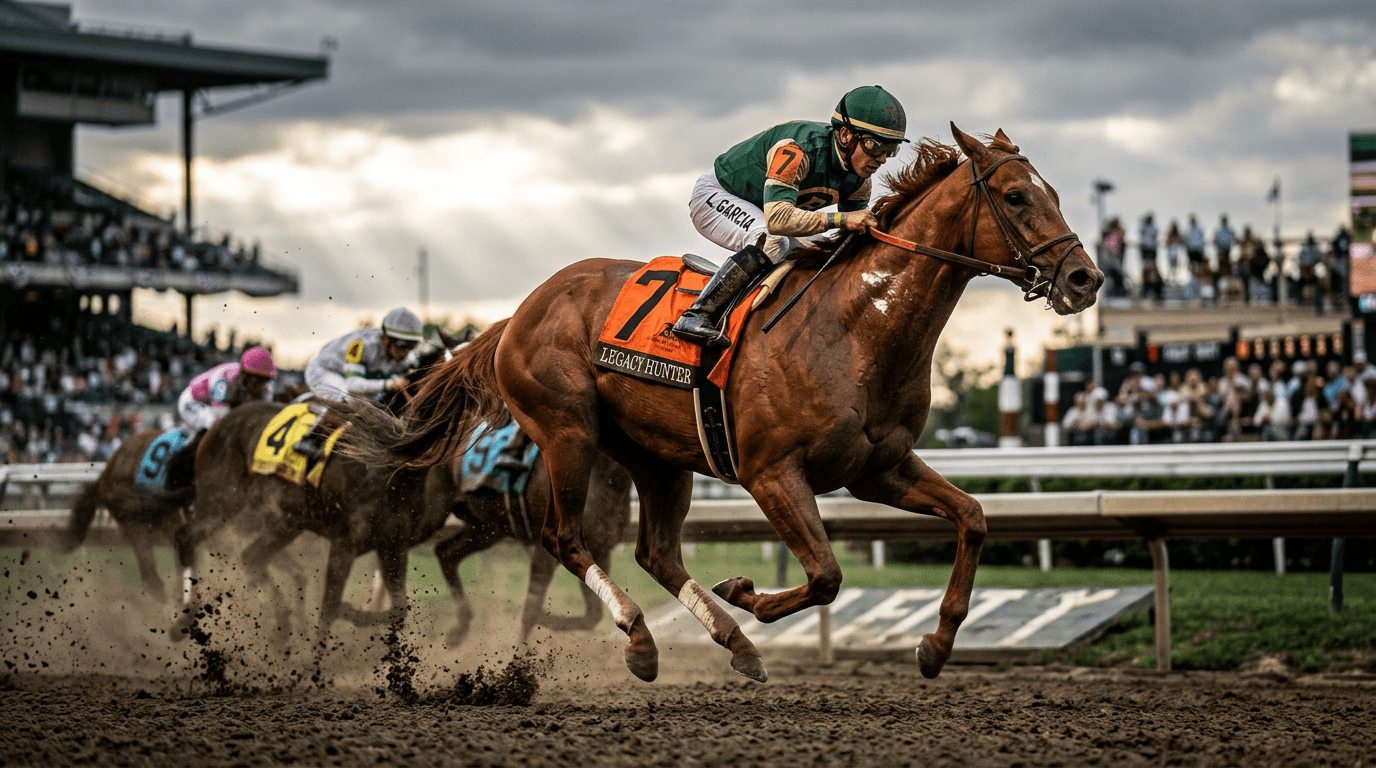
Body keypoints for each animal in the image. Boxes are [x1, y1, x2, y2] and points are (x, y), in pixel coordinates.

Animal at [171, 330, 632, 646]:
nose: (516, 406)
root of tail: (224, 423)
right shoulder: (348, 542)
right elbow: (334, 606)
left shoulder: (391, 542)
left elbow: (589, 611)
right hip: (220, 502)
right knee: (189, 536)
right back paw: (185, 619)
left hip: (295, 519)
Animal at [339, 124, 1103, 683]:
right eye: (1015, 196)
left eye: (1054, 192)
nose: (1084, 278)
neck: (857, 328)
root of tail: (518, 313)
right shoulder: (772, 473)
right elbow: (826, 575)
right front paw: (745, 591)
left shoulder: (877, 469)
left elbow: (972, 518)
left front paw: (937, 645)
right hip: (566, 433)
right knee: (565, 537)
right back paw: (642, 639)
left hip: (657, 457)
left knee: (655, 553)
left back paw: (730, 643)